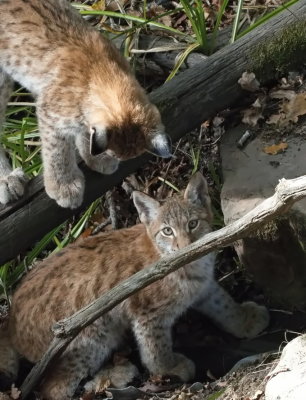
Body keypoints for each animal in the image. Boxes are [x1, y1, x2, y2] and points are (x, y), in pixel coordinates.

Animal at [0, 0, 170, 209]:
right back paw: (6, 179)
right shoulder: (48, 112)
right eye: (115, 154)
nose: (112, 157)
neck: (106, 75)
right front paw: (63, 186)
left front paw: (94, 156)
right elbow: (57, 150)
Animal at [0, 173, 268, 400]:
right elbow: (155, 346)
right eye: (167, 231)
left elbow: (223, 304)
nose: (185, 247)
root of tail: (10, 321)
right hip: (89, 336)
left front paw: (245, 320)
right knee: (54, 389)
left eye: (193, 224)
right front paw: (170, 368)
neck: (191, 263)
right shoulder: (147, 313)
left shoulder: (202, 287)